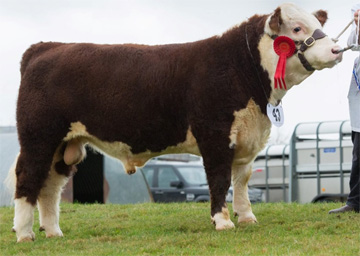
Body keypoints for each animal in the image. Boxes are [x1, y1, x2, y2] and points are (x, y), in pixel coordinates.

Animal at [7, 3, 342, 241]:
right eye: (297, 28)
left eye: (318, 25)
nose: (337, 49)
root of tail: (47, 46)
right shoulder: (215, 135)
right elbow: (219, 179)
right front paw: (222, 221)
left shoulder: (247, 137)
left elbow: (242, 179)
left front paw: (246, 217)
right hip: (39, 137)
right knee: (28, 178)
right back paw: (25, 234)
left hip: (63, 146)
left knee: (49, 187)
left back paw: (53, 232)